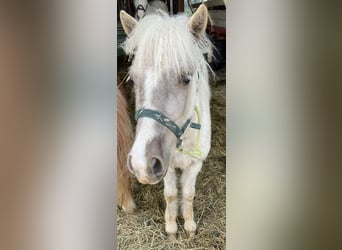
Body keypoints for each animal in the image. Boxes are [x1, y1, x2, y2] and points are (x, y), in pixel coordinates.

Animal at [119, 4, 211, 237]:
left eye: (186, 78)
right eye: (133, 79)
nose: (141, 163)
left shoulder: (196, 163)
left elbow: (188, 193)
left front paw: (189, 226)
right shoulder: (166, 166)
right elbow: (170, 194)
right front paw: (171, 228)